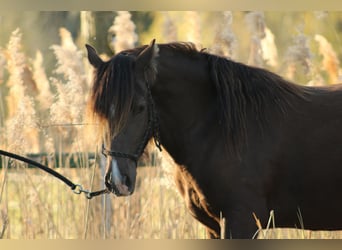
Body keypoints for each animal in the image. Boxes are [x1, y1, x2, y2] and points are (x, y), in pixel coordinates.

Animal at [86, 40, 342, 239]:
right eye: (100, 111)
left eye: (139, 107)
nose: (118, 180)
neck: (219, 128)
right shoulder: (213, 226)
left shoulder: (241, 222)